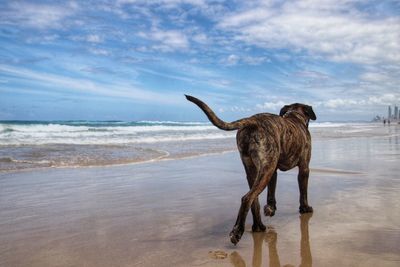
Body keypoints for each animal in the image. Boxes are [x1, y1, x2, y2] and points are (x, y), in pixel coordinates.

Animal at [186, 95, 318, 246]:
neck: (295, 117)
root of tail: (251, 120)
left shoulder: (273, 170)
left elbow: (271, 192)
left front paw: (271, 208)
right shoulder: (304, 168)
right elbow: (303, 192)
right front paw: (305, 208)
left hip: (256, 169)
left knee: (254, 200)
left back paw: (258, 226)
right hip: (266, 168)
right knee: (247, 198)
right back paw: (238, 231)